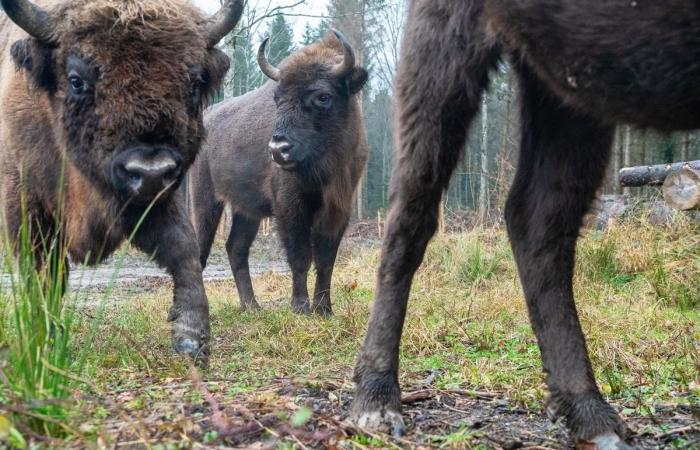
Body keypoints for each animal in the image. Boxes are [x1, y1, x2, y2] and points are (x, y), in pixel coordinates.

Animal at [0, 0, 245, 364]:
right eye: (76, 80)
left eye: (194, 83)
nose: (150, 170)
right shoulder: (24, 199)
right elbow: (43, 272)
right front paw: (44, 339)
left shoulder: (156, 200)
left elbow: (183, 248)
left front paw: (191, 340)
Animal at [189, 29, 370, 314]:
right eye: (277, 97)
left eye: (323, 96)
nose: (278, 148)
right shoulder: (289, 206)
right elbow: (300, 256)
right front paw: (300, 307)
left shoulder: (340, 207)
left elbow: (326, 261)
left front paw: (324, 309)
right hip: (205, 199)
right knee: (202, 249)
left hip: (246, 211)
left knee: (236, 248)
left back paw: (252, 306)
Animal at [352, 0, 700, 450]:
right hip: (446, 53)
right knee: (411, 213)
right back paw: (376, 399)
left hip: (568, 85)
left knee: (536, 218)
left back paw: (591, 415)